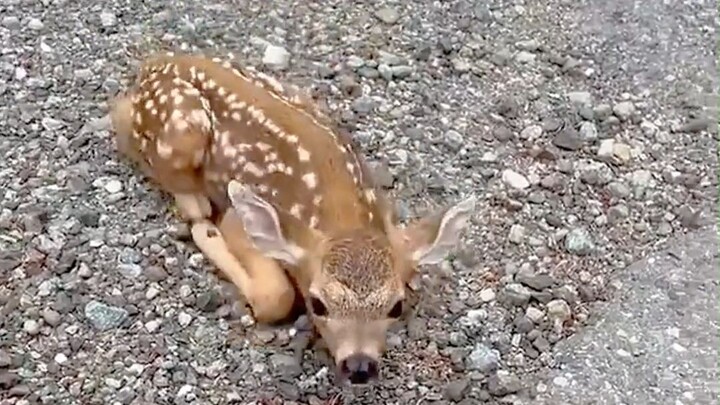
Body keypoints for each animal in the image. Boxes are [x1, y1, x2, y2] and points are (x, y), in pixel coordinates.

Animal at [108, 52, 476, 386]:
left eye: (396, 307)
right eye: (318, 304)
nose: (359, 365)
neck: (343, 215)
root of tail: (156, 61)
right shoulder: (239, 219)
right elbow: (276, 297)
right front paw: (208, 234)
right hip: (182, 126)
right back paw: (196, 207)